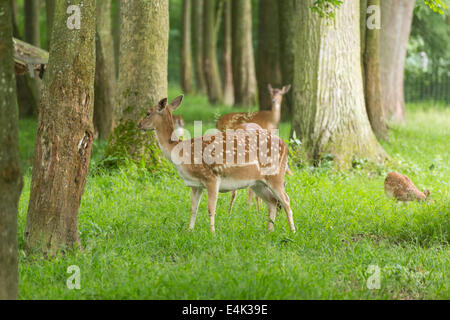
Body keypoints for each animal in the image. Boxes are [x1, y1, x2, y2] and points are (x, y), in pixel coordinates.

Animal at [137, 95, 296, 232]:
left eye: (148, 113)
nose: (138, 124)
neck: (181, 153)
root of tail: (286, 147)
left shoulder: (211, 178)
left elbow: (210, 208)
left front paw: (212, 233)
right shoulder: (195, 185)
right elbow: (193, 208)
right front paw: (189, 231)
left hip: (275, 175)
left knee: (286, 200)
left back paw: (292, 231)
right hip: (257, 183)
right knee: (272, 201)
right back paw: (269, 231)